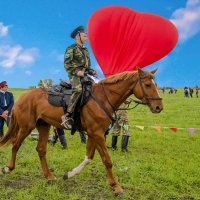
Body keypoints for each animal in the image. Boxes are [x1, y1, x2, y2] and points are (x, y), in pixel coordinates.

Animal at [0, 68, 162, 194]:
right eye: (147, 84)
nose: (159, 107)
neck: (103, 98)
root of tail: (23, 97)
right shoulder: (97, 134)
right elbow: (107, 160)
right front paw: (116, 186)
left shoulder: (94, 134)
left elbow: (88, 157)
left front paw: (69, 175)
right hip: (26, 127)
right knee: (15, 145)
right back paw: (8, 168)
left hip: (43, 125)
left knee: (40, 149)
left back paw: (49, 176)